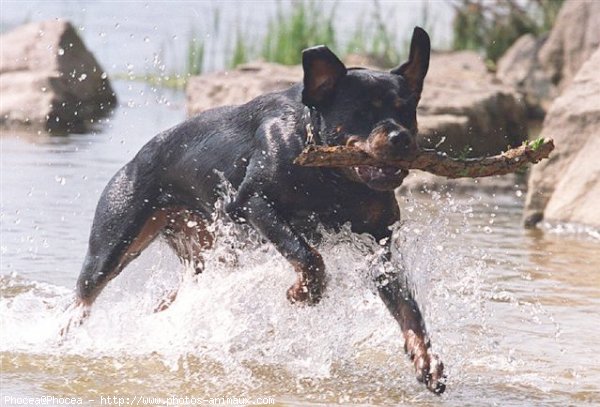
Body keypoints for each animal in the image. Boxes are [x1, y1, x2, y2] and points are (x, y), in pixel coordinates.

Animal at [69, 26, 446, 396]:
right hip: (115, 238)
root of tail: (137, 156)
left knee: (176, 296)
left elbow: (408, 309)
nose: (400, 137)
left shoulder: (379, 244)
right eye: (362, 112)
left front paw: (426, 359)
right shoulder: (253, 201)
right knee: (85, 293)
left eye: (407, 110)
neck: (334, 179)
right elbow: (307, 255)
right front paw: (303, 293)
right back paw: (69, 331)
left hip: (210, 255)